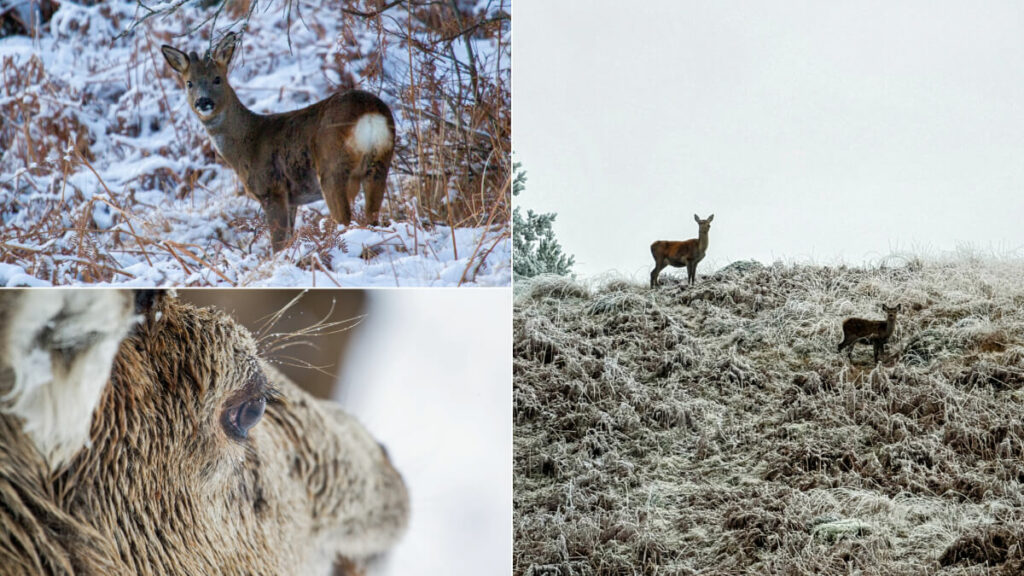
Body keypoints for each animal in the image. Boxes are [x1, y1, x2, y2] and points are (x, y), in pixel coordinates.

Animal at [160, 31, 395, 251]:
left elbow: (278, 243)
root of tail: (369, 113)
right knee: (372, 216)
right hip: (380, 162)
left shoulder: (271, 189)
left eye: (217, 78)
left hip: (333, 168)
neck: (247, 144)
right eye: (189, 83)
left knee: (344, 220)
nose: (203, 101)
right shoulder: (292, 198)